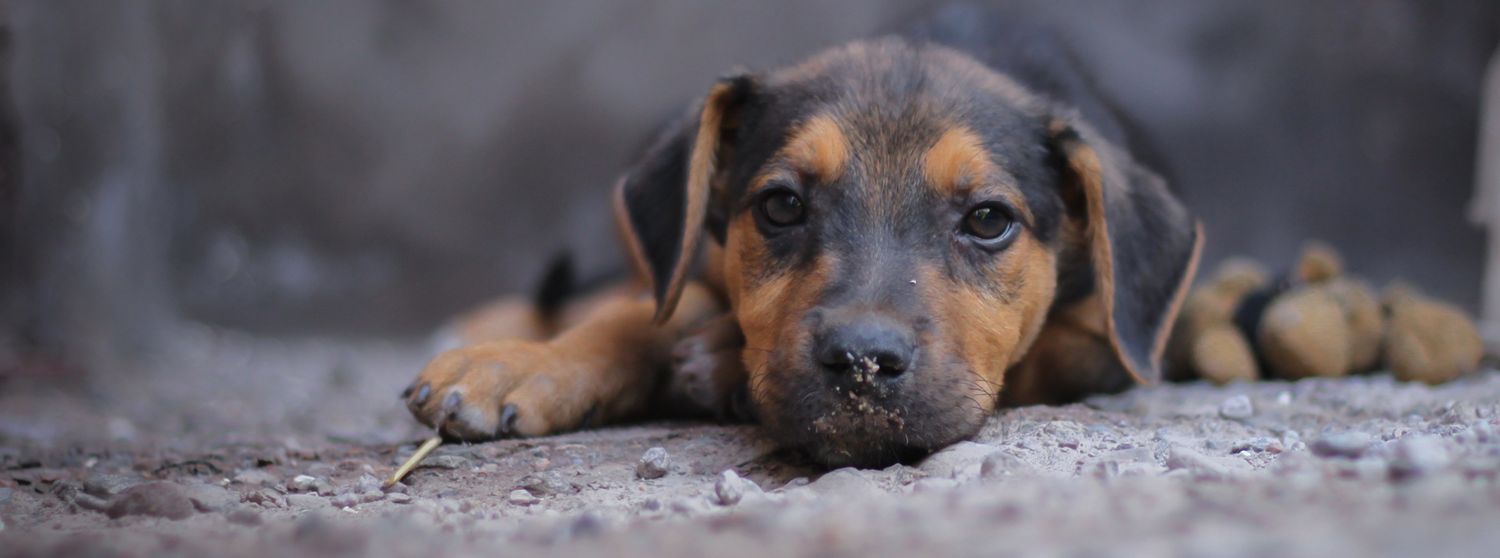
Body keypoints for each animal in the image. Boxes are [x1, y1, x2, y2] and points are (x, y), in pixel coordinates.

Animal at [405, 27, 1200, 471]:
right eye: (782, 205)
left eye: (987, 220)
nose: (861, 362)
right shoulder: (694, 259)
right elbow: (639, 313)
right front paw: (518, 366)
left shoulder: (1112, 340)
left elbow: (1035, 357)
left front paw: (720, 359)